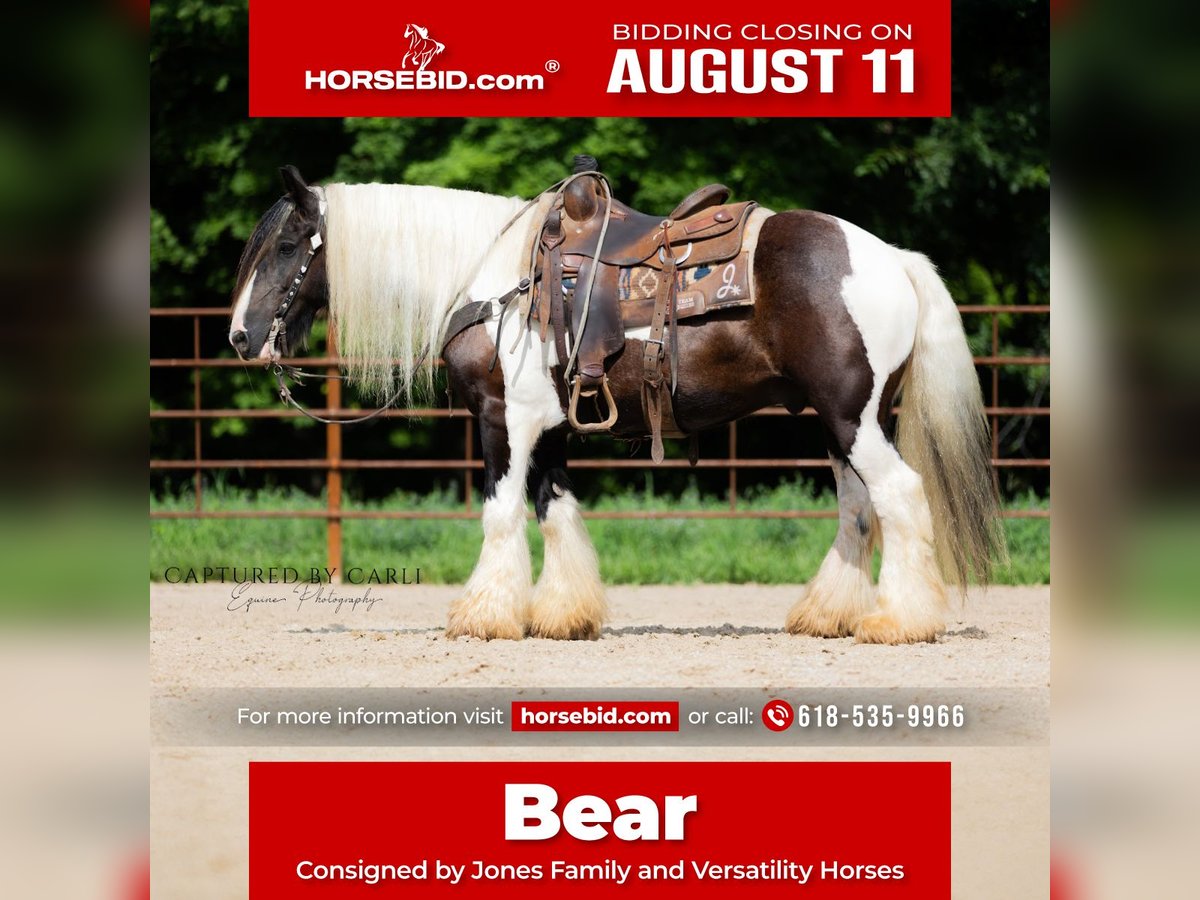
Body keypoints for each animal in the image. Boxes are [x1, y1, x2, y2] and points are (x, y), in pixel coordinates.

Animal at [227, 165, 1006, 644]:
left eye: (289, 244)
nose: (239, 337)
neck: (494, 278)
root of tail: (893, 258)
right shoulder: (549, 428)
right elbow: (555, 510)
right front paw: (564, 616)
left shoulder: (504, 418)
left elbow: (502, 512)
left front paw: (484, 615)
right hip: (835, 425)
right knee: (858, 507)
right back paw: (826, 615)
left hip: (855, 418)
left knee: (900, 497)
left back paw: (899, 622)